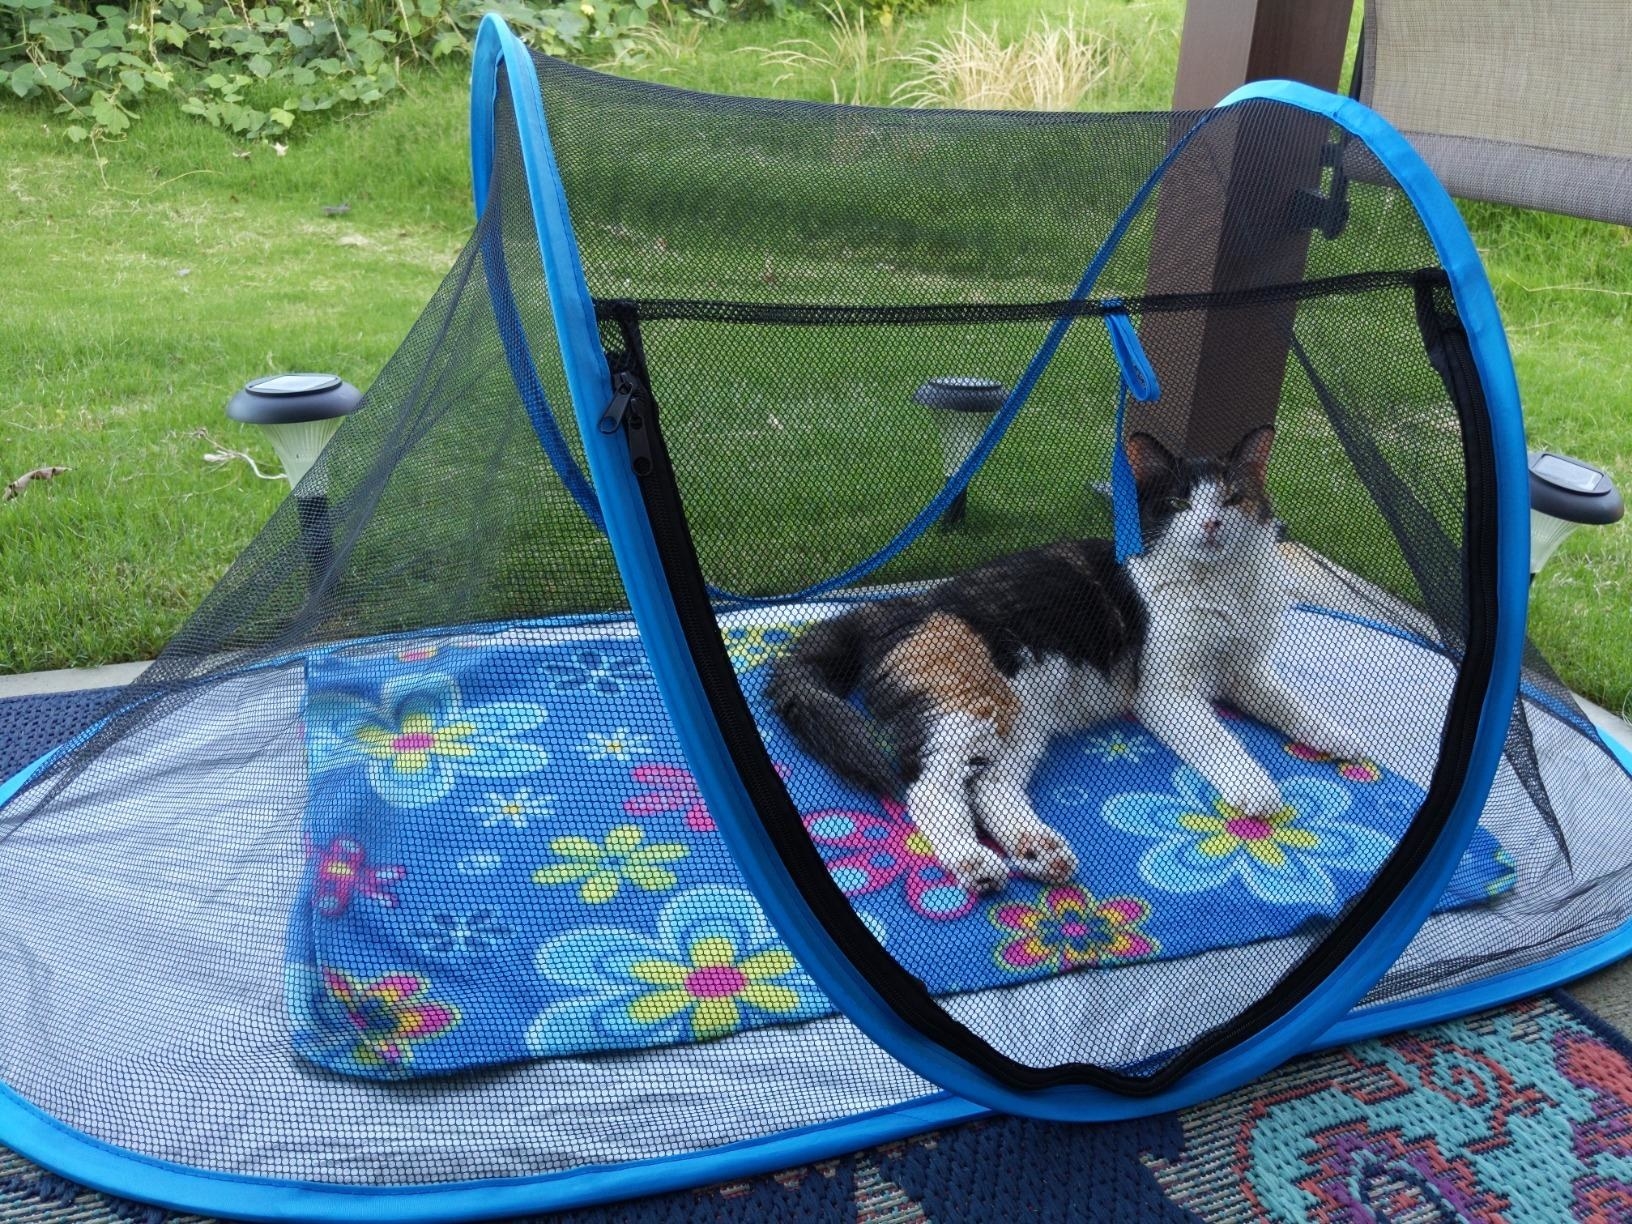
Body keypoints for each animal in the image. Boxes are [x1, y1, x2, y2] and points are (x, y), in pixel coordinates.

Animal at [763, 427, 1364, 894]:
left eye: (1232, 499)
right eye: (1179, 505)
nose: (1211, 525)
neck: (1217, 584)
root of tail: (907, 604)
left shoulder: (1246, 671)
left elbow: (1291, 704)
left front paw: (1343, 738)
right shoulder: (1164, 689)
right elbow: (1220, 739)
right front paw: (1257, 791)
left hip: (1023, 719)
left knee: (989, 788)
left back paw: (1039, 850)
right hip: (975, 704)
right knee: (931, 787)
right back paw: (976, 864)